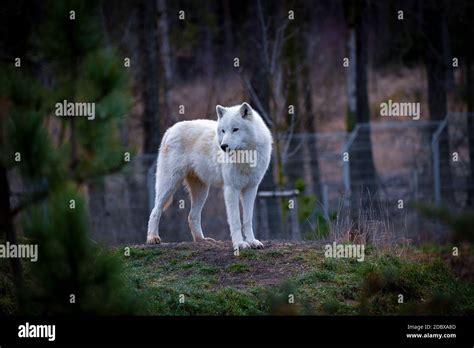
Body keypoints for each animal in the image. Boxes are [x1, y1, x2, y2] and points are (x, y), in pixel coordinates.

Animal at [146, 101, 272, 250]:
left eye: (235, 129)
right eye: (223, 131)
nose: (223, 146)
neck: (245, 157)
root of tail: (170, 129)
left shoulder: (251, 188)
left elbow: (247, 220)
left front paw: (252, 241)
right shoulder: (231, 189)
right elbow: (235, 220)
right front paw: (240, 244)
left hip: (202, 191)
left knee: (192, 216)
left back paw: (201, 240)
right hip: (169, 185)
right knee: (155, 210)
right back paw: (152, 238)